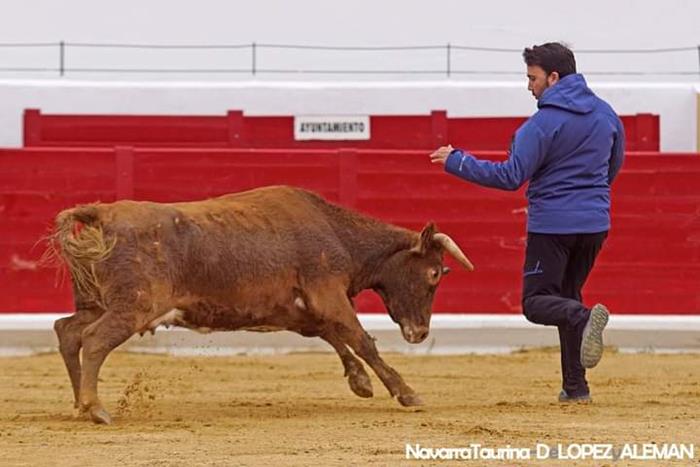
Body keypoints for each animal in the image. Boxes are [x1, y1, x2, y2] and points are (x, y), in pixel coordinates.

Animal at [47, 186, 476, 424]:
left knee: (67, 331)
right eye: (434, 273)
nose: (420, 333)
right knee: (94, 340)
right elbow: (360, 339)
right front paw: (406, 393)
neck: (336, 231)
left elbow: (334, 336)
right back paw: (96, 408)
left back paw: (79, 404)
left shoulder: (302, 308)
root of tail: (102, 213)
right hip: (133, 307)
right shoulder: (329, 294)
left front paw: (360, 383)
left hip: (99, 303)